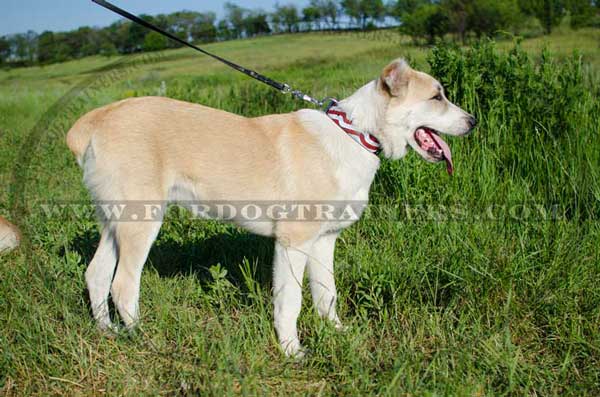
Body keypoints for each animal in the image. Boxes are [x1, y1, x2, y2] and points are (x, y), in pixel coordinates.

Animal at [67, 58, 478, 356]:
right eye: (437, 97)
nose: (473, 122)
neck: (355, 135)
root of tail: (96, 119)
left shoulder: (324, 242)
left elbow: (326, 295)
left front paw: (337, 334)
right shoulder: (292, 243)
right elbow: (290, 301)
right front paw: (292, 351)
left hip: (115, 223)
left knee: (96, 275)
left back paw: (107, 332)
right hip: (142, 221)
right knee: (122, 284)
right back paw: (142, 339)